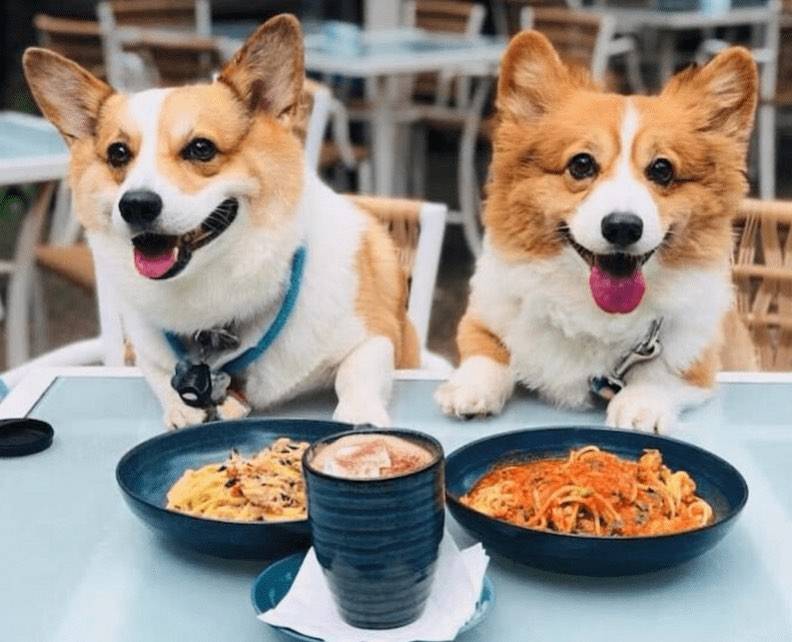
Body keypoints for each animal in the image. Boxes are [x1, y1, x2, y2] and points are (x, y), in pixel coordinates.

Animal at [23, 15, 420, 428]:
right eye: (118, 153)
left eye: (201, 148)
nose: (136, 205)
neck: (212, 298)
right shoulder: (146, 353)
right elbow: (162, 378)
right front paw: (184, 408)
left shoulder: (375, 337)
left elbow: (356, 374)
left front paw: (360, 416)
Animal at [436, 30, 756, 430]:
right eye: (582, 164)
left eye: (662, 169)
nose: (622, 228)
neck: (594, 312)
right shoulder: (484, 318)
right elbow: (488, 352)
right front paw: (469, 388)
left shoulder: (698, 360)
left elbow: (662, 376)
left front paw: (639, 405)